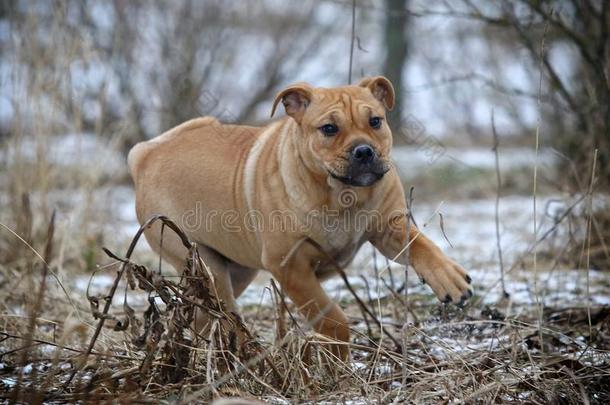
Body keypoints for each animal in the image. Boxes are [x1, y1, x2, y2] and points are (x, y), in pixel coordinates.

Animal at [127, 76, 470, 360]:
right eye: (329, 128)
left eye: (375, 121)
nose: (364, 151)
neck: (342, 195)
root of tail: (146, 154)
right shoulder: (290, 264)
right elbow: (331, 317)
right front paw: (337, 361)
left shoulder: (389, 227)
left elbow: (422, 246)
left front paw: (448, 277)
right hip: (204, 266)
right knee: (225, 317)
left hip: (236, 271)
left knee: (204, 317)